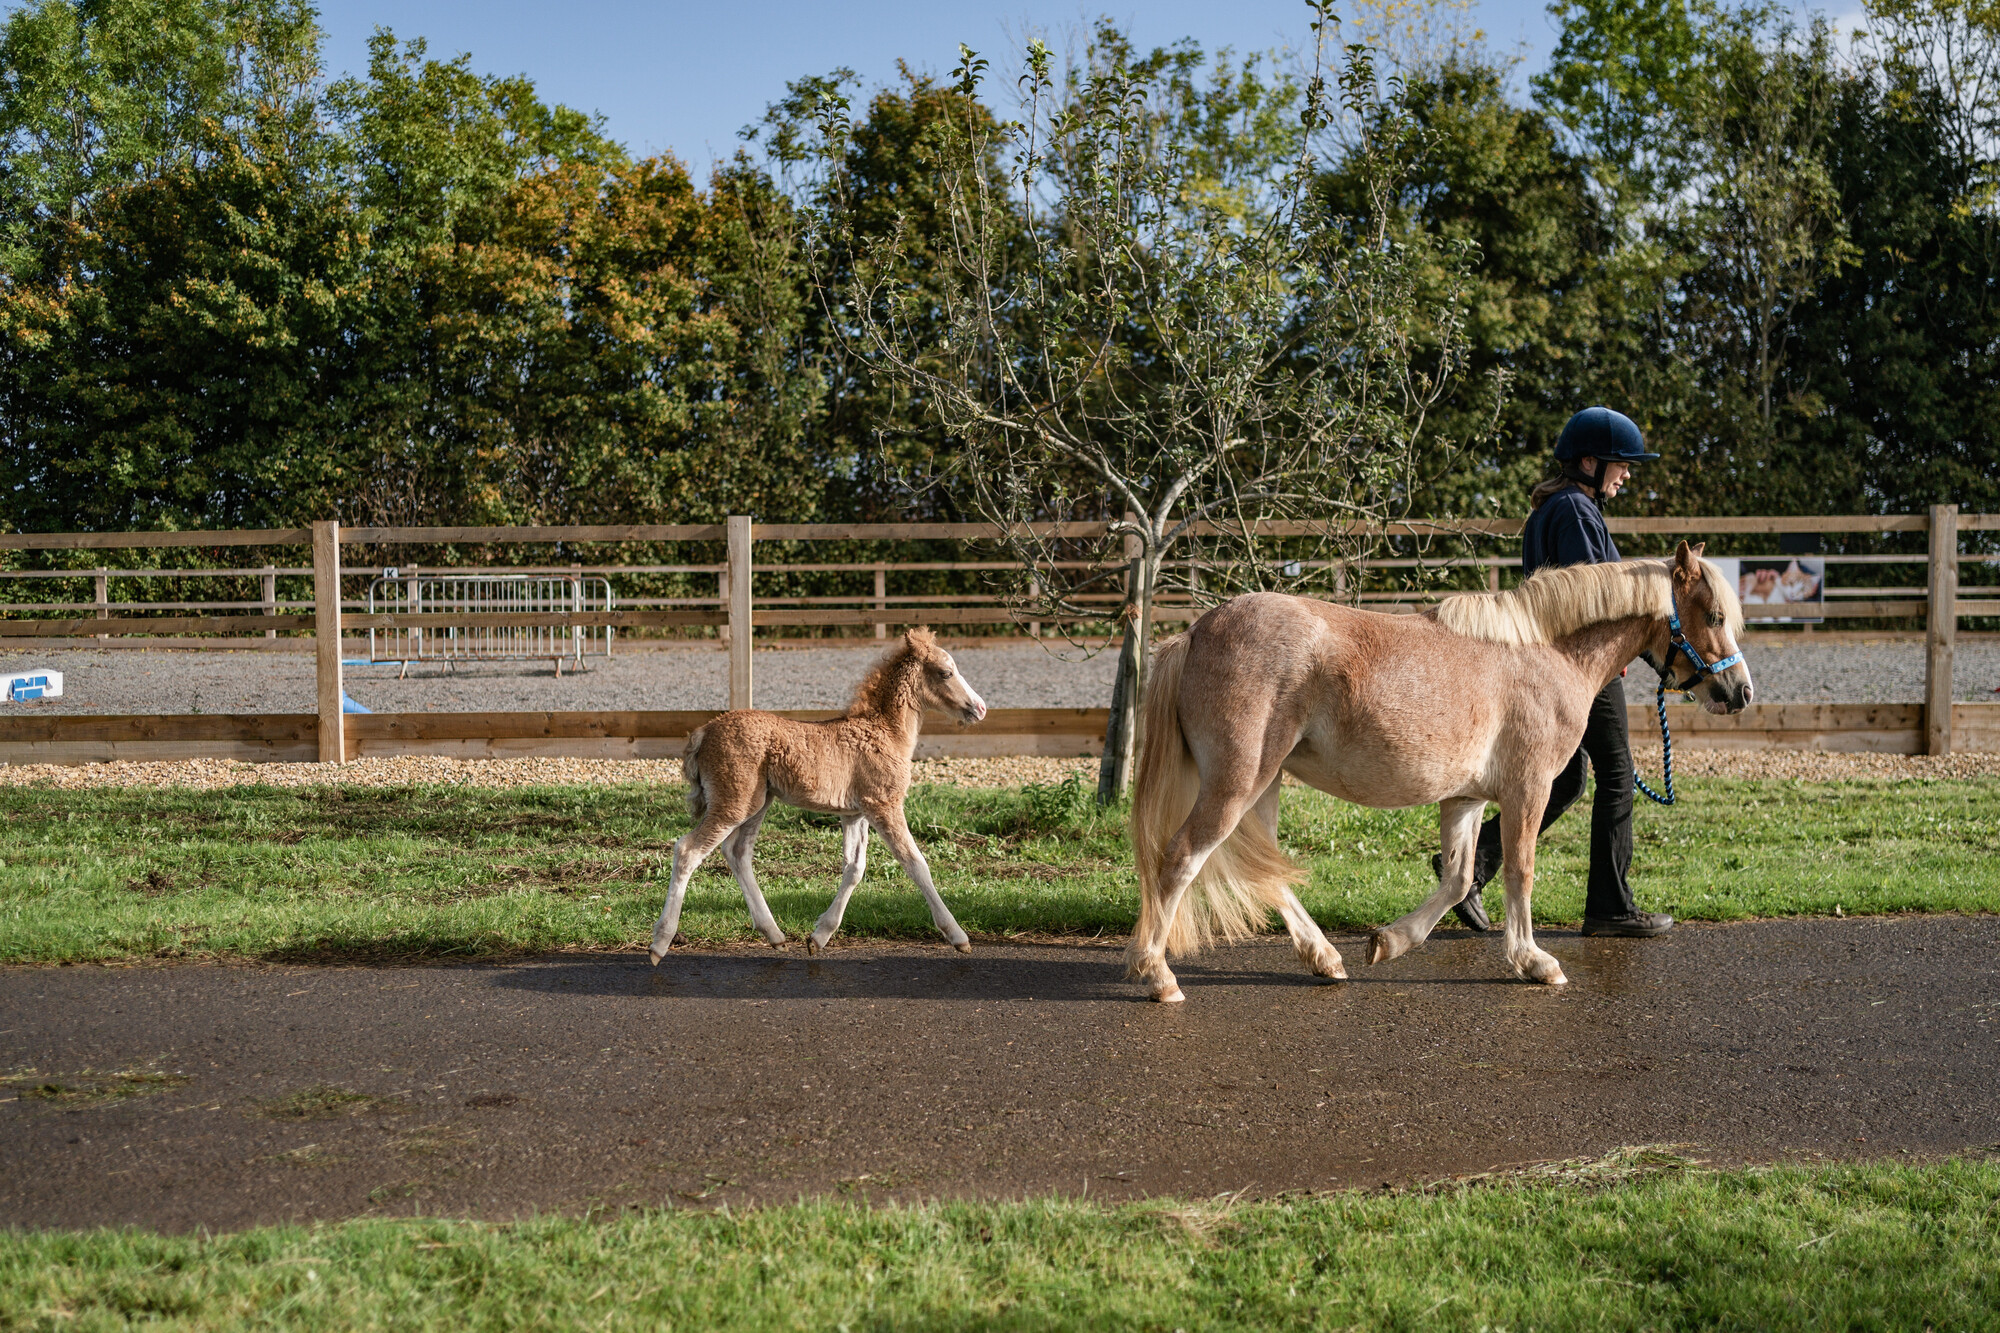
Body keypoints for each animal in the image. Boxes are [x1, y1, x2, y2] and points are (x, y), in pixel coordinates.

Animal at [648, 628, 989, 963]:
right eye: (946, 672)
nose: (980, 708)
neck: (887, 732)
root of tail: (702, 732)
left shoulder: (855, 813)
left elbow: (854, 868)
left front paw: (819, 936)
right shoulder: (884, 804)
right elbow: (915, 863)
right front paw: (957, 936)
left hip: (758, 802)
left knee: (738, 852)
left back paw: (775, 935)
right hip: (734, 802)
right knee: (688, 850)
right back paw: (660, 942)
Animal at [1125, 541, 1751, 1003]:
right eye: (1715, 615)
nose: (1740, 692)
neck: (1545, 653)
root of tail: (1194, 633)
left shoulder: (1466, 799)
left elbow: (1456, 878)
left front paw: (1390, 941)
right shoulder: (1528, 790)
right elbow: (1520, 871)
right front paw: (1533, 960)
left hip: (1265, 783)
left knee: (1266, 869)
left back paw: (1324, 957)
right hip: (1237, 783)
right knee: (1182, 859)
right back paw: (1159, 976)